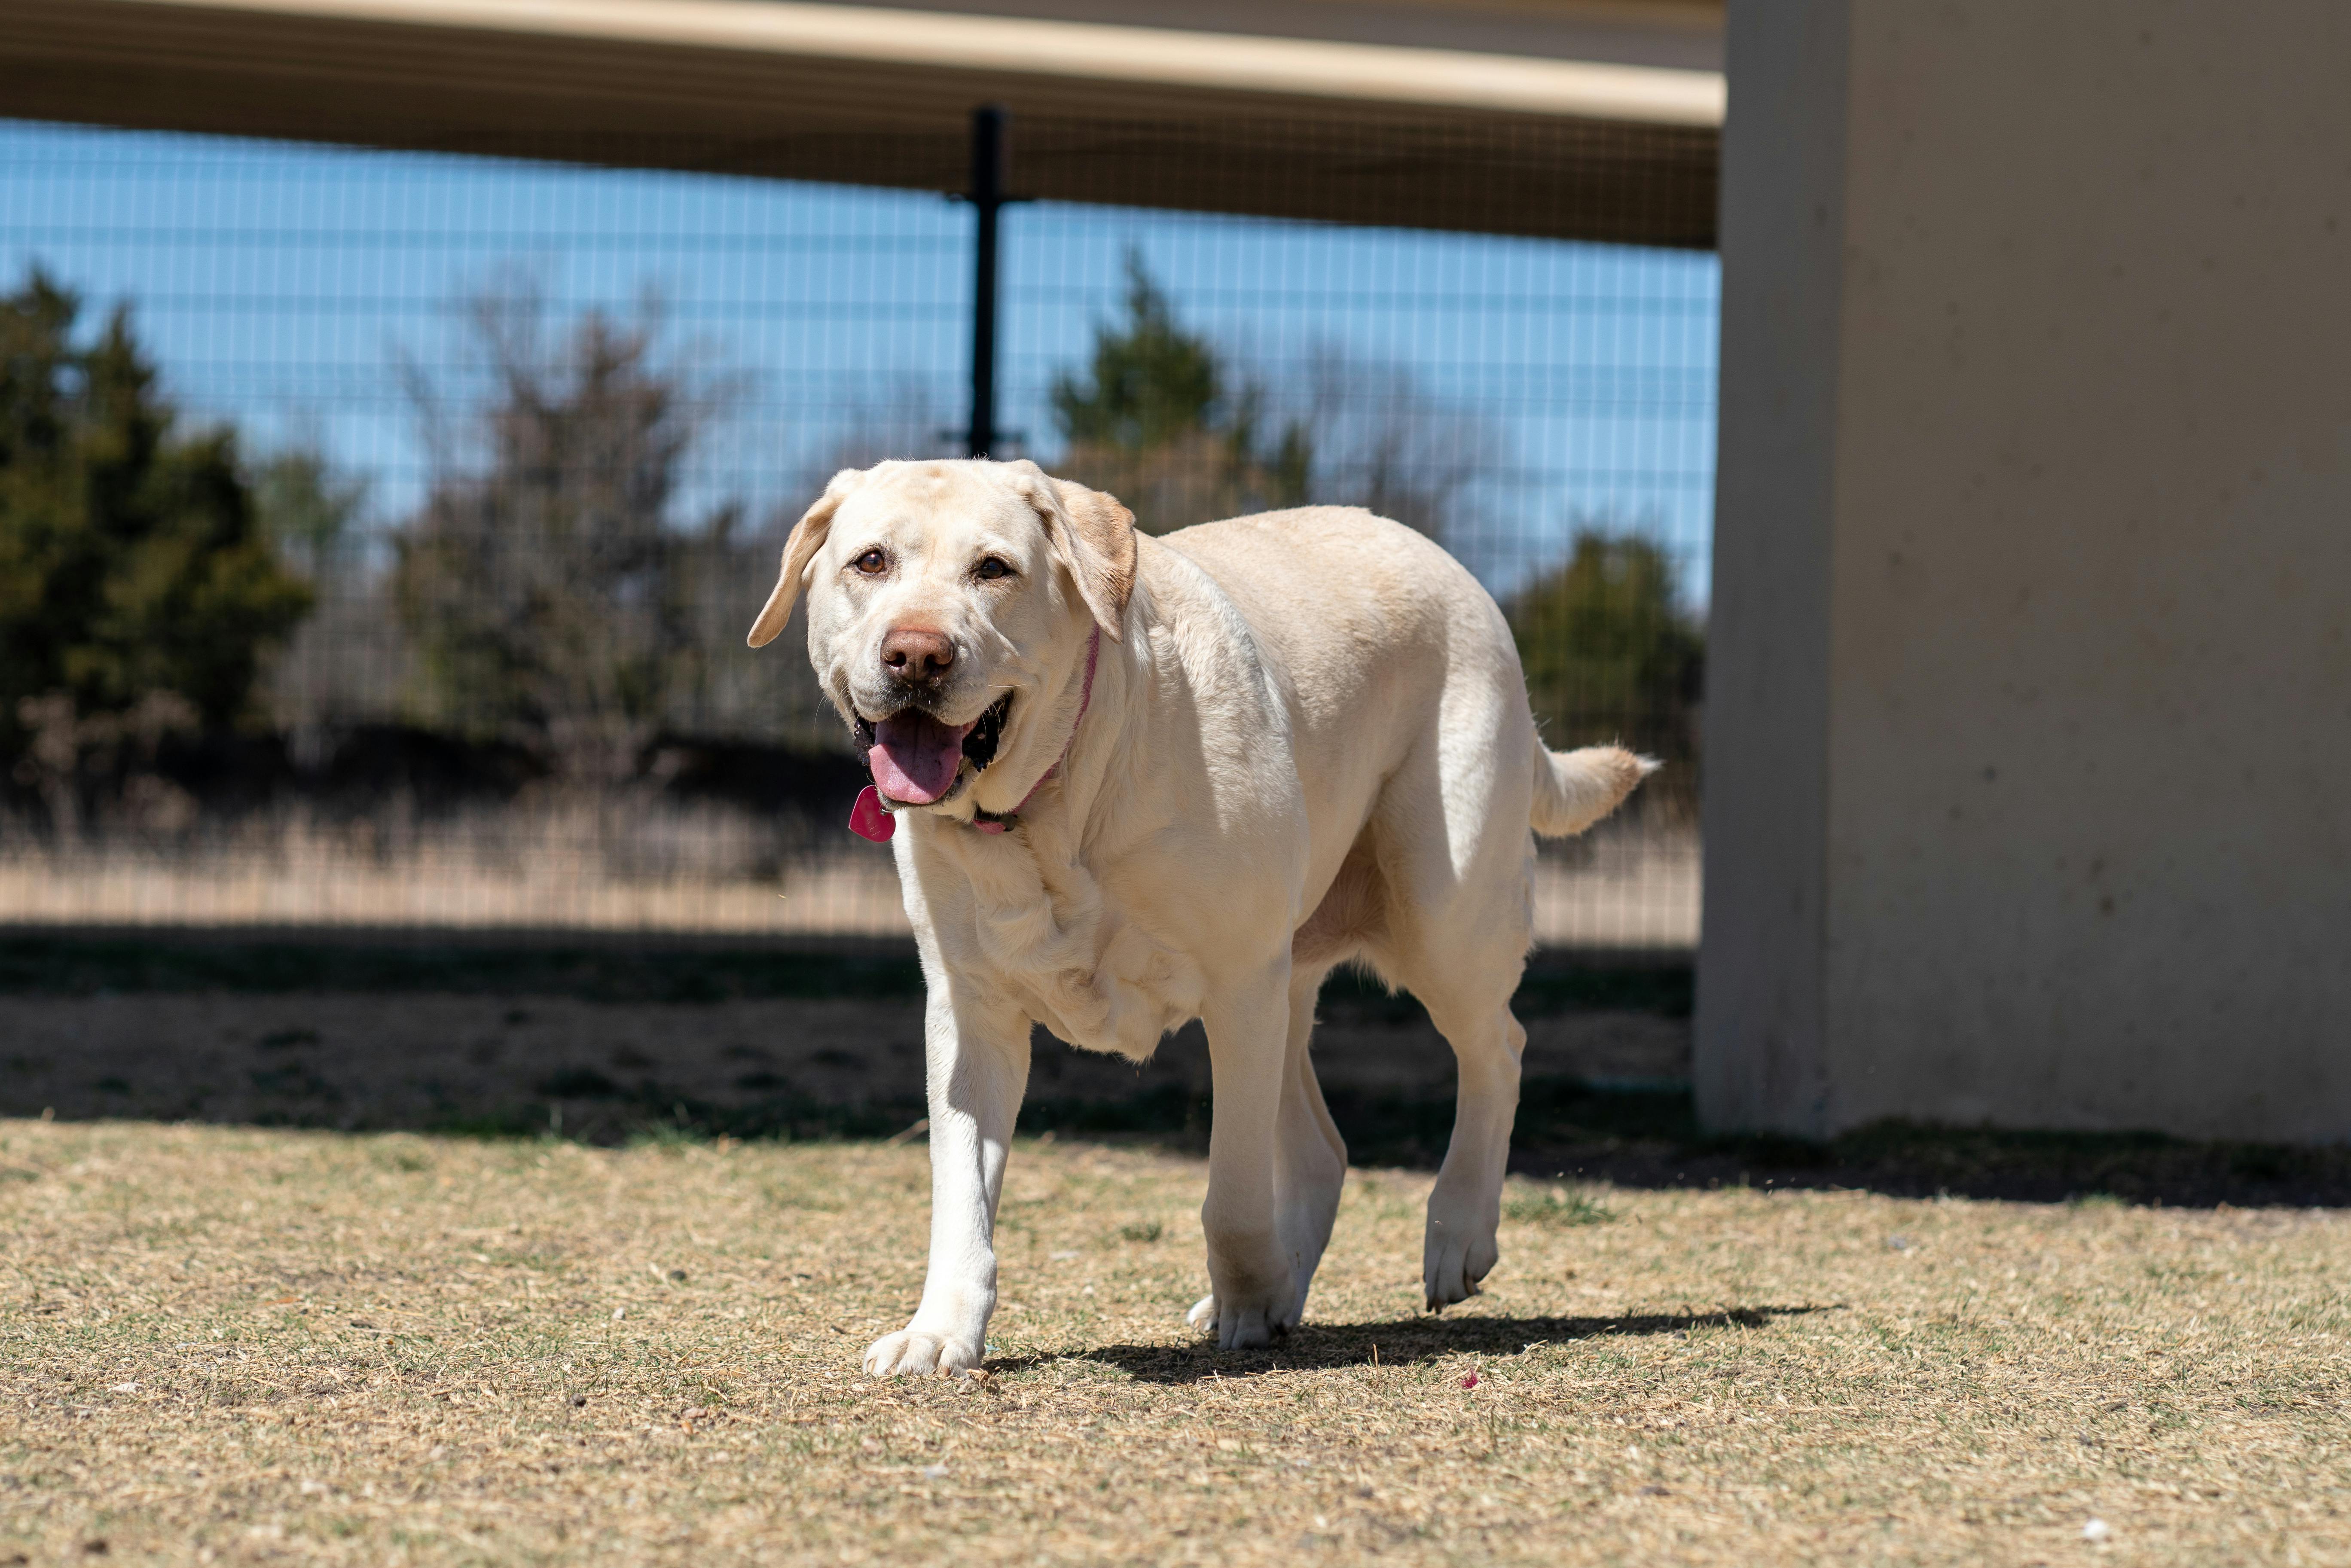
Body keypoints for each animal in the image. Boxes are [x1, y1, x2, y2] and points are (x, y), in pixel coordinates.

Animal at [743, 456, 1646, 1373]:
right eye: (870, 562)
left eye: (994, 569)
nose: (917, 655)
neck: (1057, 805)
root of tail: (1459, 573)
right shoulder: (970, 1011)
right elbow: (961, 1190)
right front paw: (940, 1333)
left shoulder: (1238, 988)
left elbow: (1233, 1192)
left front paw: (1247, 1305)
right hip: (1297, 978)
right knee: (1323, 1151)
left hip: (1440, 915)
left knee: (1498, 1048)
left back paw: (1455, 1234)